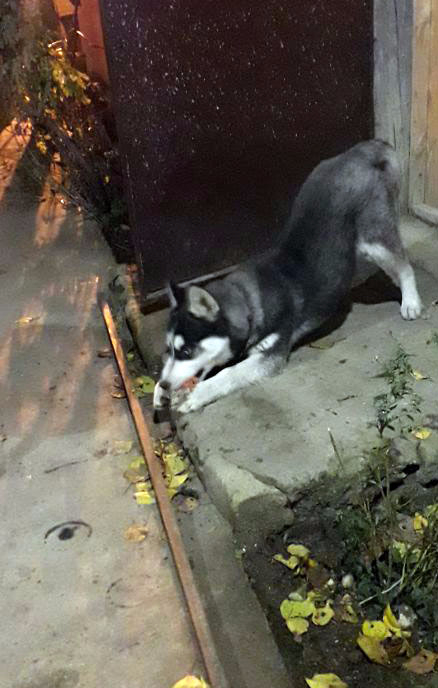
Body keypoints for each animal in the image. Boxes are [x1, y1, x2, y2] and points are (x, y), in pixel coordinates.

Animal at [153, 140, 422, 414]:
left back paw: (411, 302)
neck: (249, 305)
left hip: (374, 240)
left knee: (404, 265)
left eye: (187, 350)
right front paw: (159, 391)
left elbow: (229, 373)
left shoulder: (270, 355)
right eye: (169, 349)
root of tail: (361, 150)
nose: (165, 385)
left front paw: (196, 394)